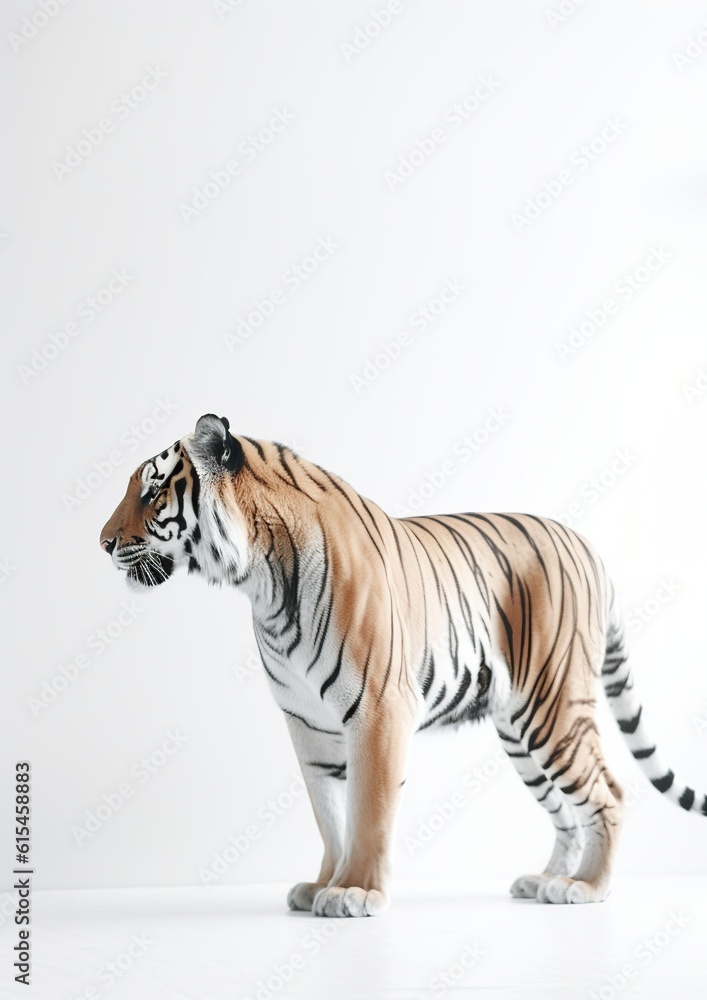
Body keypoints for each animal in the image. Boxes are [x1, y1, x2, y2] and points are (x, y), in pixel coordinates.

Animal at [100, 413, 706, 917]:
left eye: (152, 491)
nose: (102, 543)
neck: (262, 583)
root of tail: (588, 547)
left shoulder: (378, 708)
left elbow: (368, 809)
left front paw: (355, 892)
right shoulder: (307, 724)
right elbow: (328, 814)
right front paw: (322, 885)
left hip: (552, 705)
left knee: (608, 793)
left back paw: (585, 887)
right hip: (520, 730)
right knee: (563, 806)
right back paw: (544, 880)